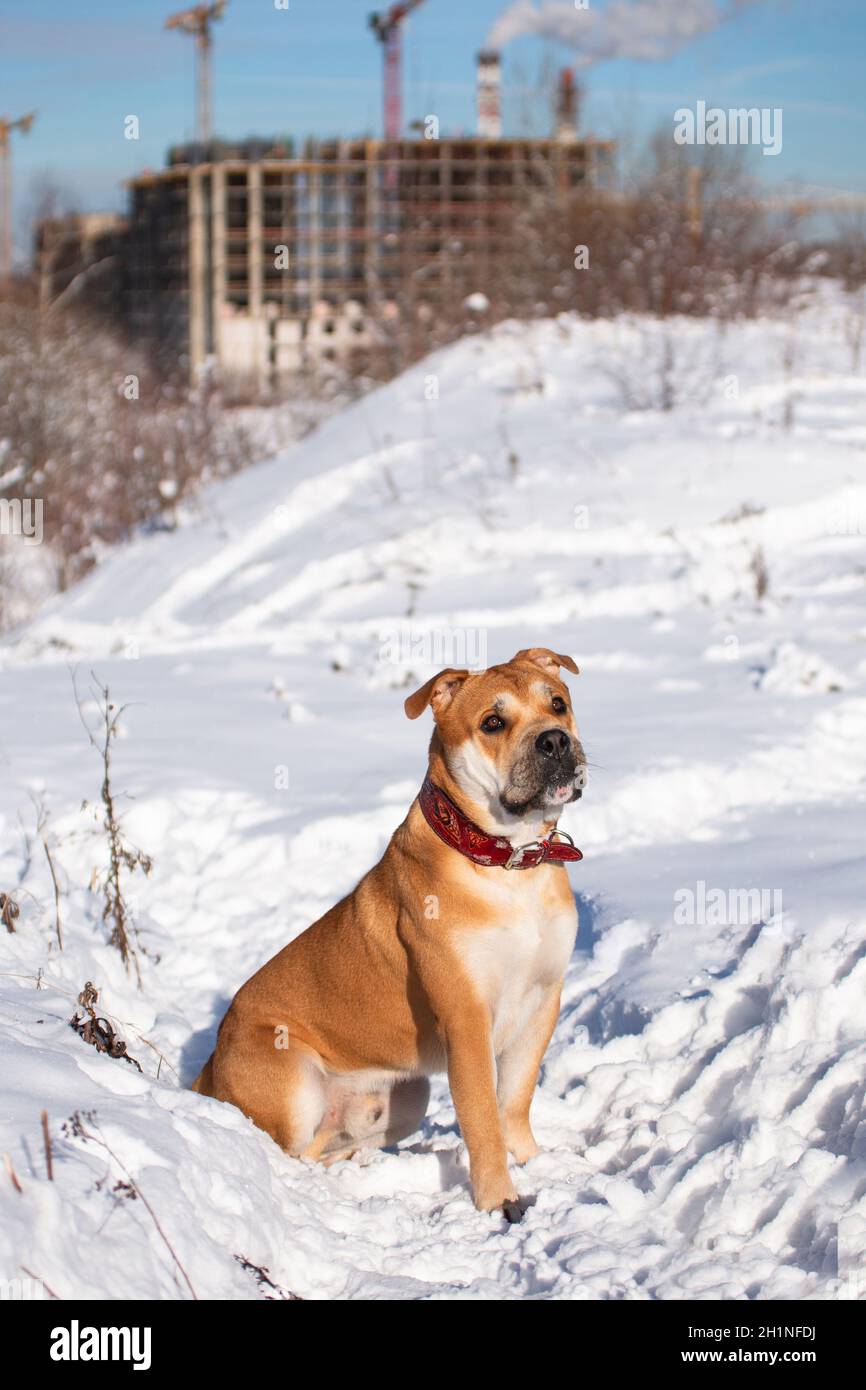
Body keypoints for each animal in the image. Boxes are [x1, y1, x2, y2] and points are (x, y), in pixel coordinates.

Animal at [194, 644, 589, 1223]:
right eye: (492, 723)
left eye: (557, 703)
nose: (555, 740)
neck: (510, 864)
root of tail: (208, 1069)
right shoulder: (466, 1018)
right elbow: (482, 1118)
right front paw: (501, 1200)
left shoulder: (542, 999)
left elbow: (514, 1100)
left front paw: (534, 1161)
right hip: (293, 1082)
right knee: (288, 1149)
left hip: (405, 1096)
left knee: (329, 1143)